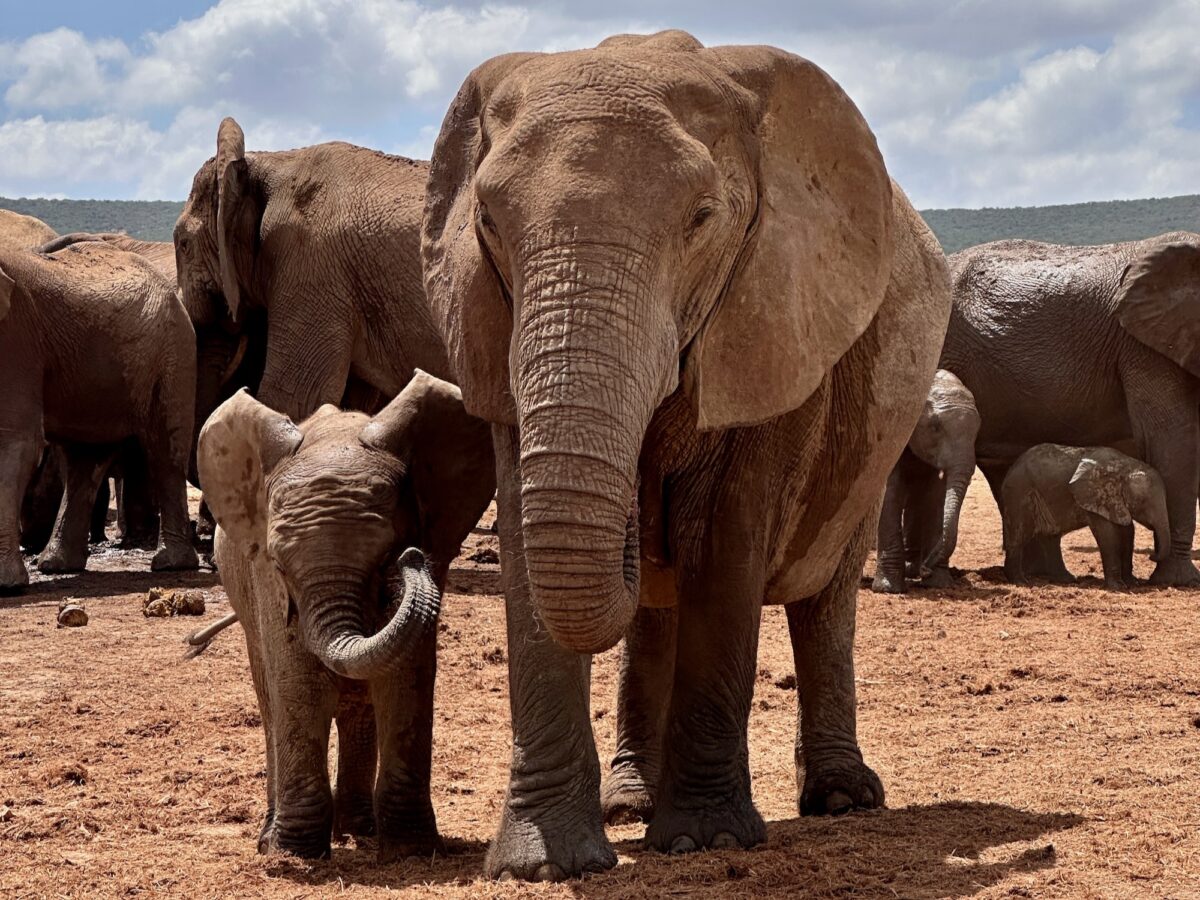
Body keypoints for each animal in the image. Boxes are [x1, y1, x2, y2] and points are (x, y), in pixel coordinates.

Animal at [0, 240, 198, 590]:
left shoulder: (17, 343)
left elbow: (16, 441)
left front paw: (7, 586)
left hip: (173, 355)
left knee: (165, 452)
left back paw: (171, 564)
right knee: (85, 460)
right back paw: (55, 565)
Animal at [197, 371, 495, 861]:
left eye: (389, 555)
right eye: (279, 566)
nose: (412, 559)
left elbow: (405, 679)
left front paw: (411, 849)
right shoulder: (265, 584)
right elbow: (300, 684)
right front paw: (293, 854)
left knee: (360, 707)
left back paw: (358, 830)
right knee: (271, 701)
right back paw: (273, 838)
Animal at [422, 31, 951, 879]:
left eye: (702, 219)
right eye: (489, 221)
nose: (644, 502)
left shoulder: (773, 316)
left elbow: (725, 543)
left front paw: (708, 841)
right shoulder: (487, 325)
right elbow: (532, 563)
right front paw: (543, 864)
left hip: (874, 435)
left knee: (824, 595)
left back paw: (842, 798)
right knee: (655, 614)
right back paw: (629, 803)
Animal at [872, 369, 979, 592]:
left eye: (977, 431)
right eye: (935, 427)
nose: (925, 569)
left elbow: (935, 497)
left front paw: (939, 584)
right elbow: (890, 492)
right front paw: (888, 589)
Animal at [1001, 444, 1170, 590]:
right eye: (1143, 501)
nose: (1152, 556)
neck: (1125, 466)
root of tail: (1012, 467)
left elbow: (1128, 533)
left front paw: (1132, 583)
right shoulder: (1094, 498)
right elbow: (1108, 535)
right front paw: (1118, 587)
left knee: (1051, 537)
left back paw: (1067, 579)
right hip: (1019, 493)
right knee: (1019, 535)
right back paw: (1020, 582)